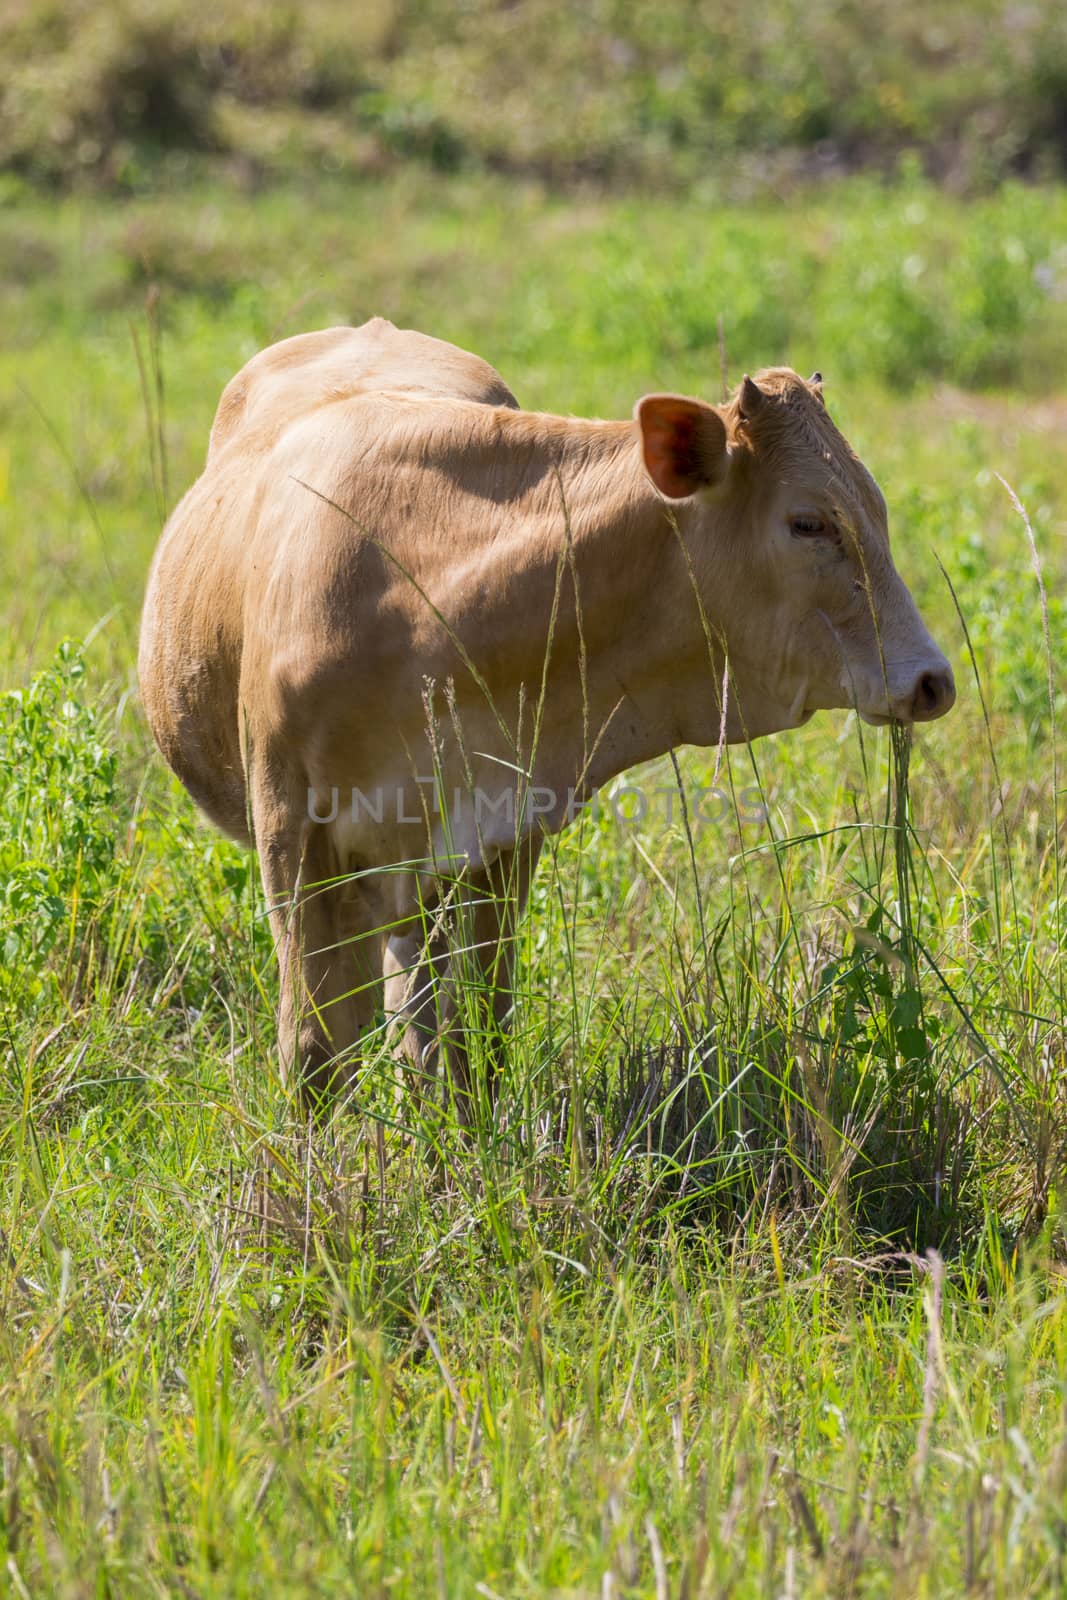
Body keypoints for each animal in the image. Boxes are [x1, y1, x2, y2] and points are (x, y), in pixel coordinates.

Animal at [137, 318, 953, 1107]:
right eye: (808, 523)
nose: (931, 680)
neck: (427, 600)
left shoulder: (507, 830)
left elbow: (478, 1035)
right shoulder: (293, 833)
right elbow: (312, 1053)